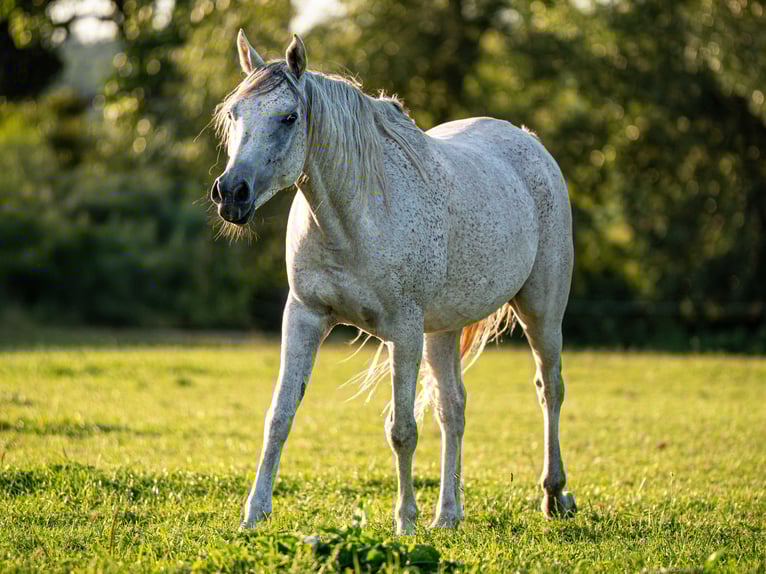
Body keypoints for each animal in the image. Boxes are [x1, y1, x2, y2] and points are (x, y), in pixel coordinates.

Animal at [210, 29, 577, 534]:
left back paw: (554, 494)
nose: (232, 193)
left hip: (541, 313)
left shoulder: (403, 331)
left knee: (550, 390)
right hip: (443, 330)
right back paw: (448, 515)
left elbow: (402, 430)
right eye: (234, 114)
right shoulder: (305, 316)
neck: (352, 220)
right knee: (453, 408)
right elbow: (280, 415)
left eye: (289, 117)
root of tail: (531, 143)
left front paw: (404, 521)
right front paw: (254, 513)